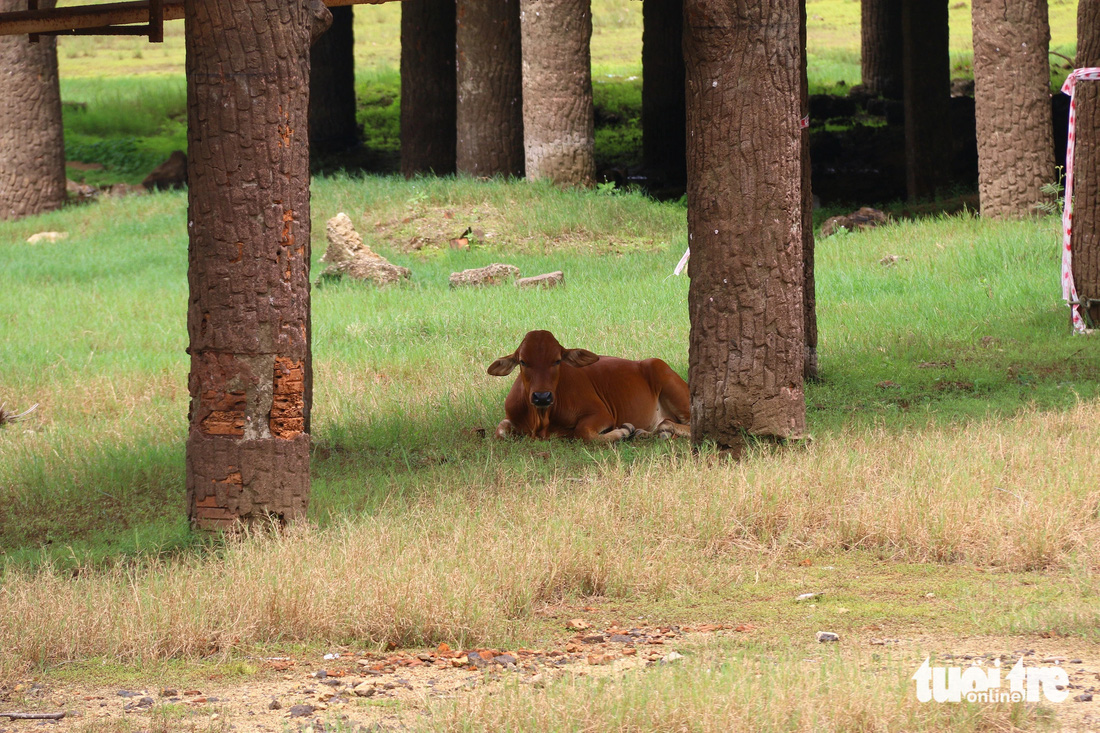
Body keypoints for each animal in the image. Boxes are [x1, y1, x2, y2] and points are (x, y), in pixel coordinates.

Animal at [484, 330, 686, 440]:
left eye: (557, 360)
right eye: (523, 361)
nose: (542, 396)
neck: (541, 422)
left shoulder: (602, 413)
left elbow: (582, 432)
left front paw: (623, 431)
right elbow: (500, 431)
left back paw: (665, 428)